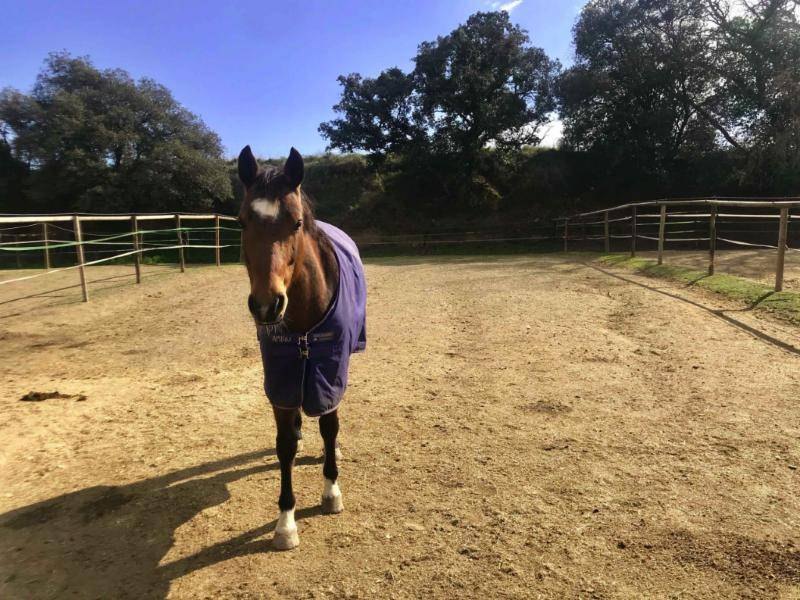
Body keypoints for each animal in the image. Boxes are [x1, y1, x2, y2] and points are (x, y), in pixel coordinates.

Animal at [237, 145, 367, 551]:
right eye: (242, 222)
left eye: (295, 223)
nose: (267, 305)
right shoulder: (280, 377)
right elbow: (284, 445)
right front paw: (285, 522)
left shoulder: (329, 368)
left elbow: (329, 424)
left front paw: (331, 491)